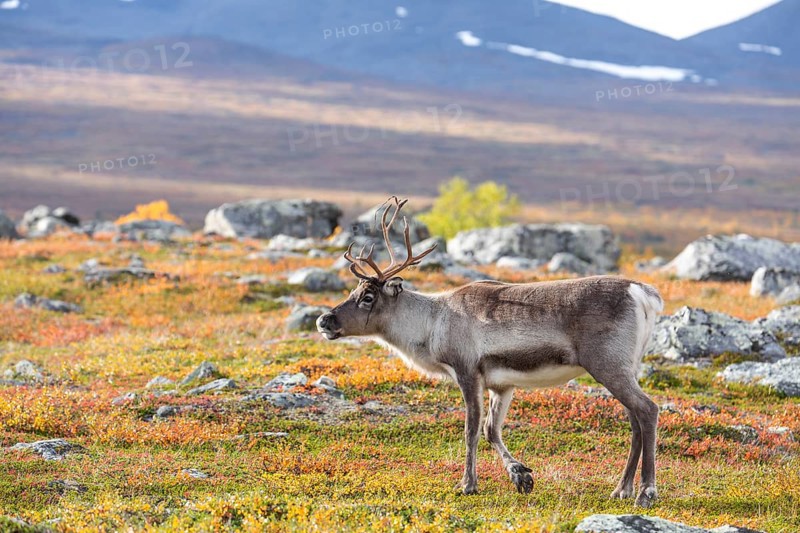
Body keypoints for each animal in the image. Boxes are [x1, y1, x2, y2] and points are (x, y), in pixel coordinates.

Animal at [316, 197, 664, 508]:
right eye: (353, 291)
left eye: (368, 297)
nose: (323, 321)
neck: (432, 323)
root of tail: (642, 292)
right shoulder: (502, 384)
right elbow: (491, 430)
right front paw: (521, 475)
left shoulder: (467, 371)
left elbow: (471, 428)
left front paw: (467, 484)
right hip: (626, 367)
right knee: (634, 420)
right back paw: (621, 489)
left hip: (607, 364)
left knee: (647, 410)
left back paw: (646, 492)